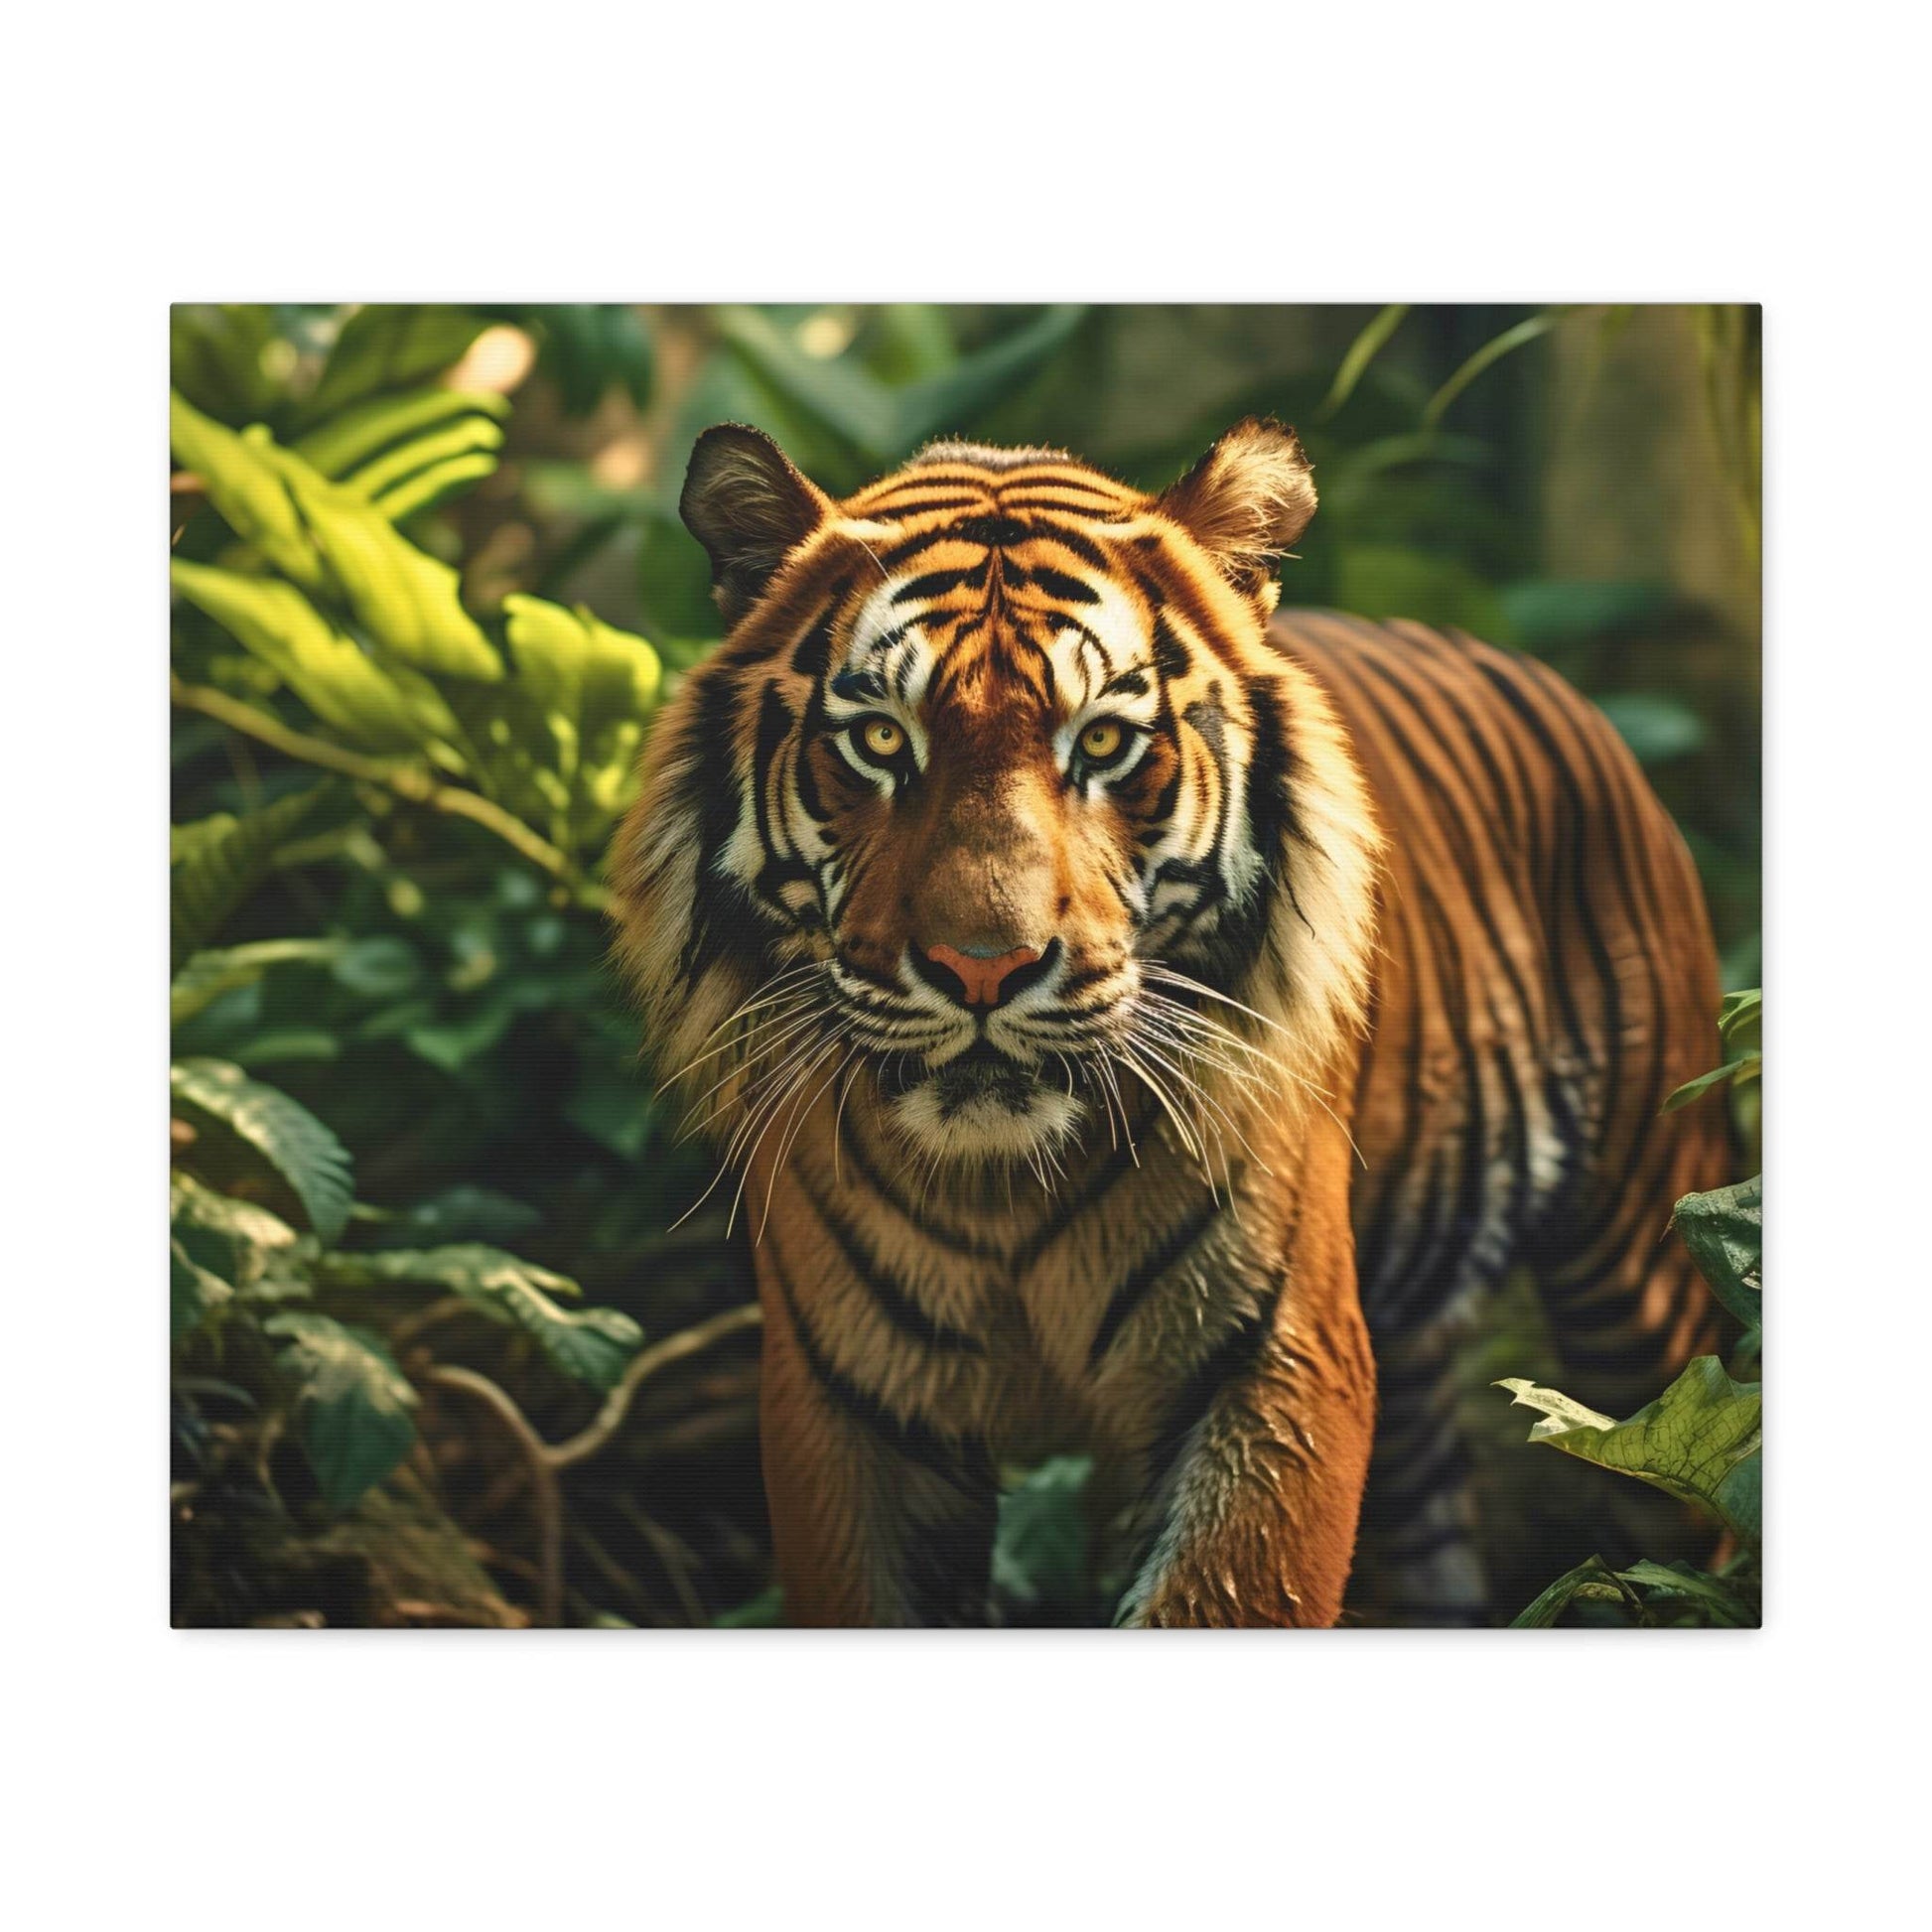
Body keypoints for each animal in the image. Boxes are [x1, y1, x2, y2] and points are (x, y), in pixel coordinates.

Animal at [611, 416, 1728, 1627]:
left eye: (1102, 744)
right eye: (878, 741)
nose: (982, 967)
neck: (1004, 1191)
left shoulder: (1272, 1365)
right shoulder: (848, 1405)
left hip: (1645, 1275)